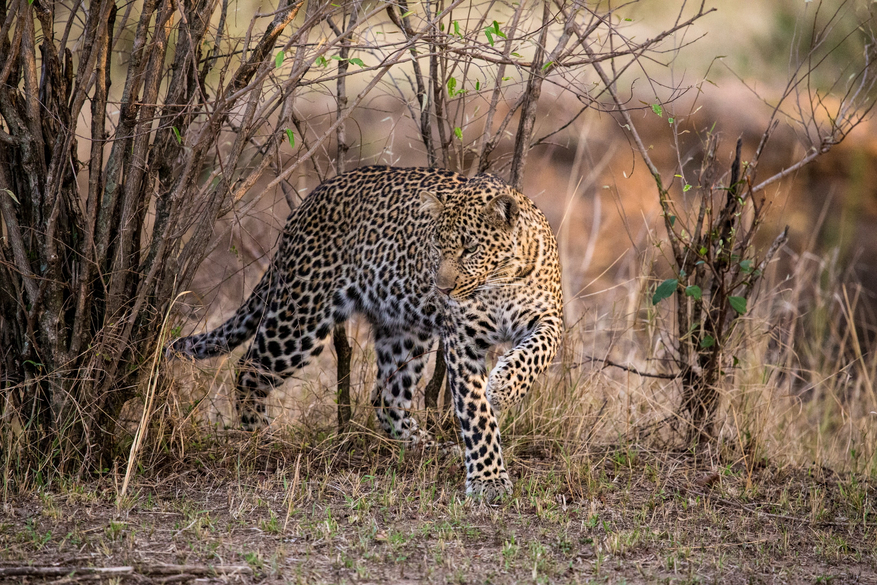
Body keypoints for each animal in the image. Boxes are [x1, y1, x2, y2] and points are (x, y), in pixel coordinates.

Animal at [171, 164, 560, 498]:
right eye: (436, 246)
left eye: (470, 248)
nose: (442, 289)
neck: (500, 282)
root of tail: (310, 199)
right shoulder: (462, 341)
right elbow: (477, 413)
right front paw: (488, 479)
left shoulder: (548, 317)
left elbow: (537, 352)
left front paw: (505, 386)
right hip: (300, 319)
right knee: (248, 370)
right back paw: (263, 439)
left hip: (405, 332)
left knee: (386, 399)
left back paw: (429, 449)